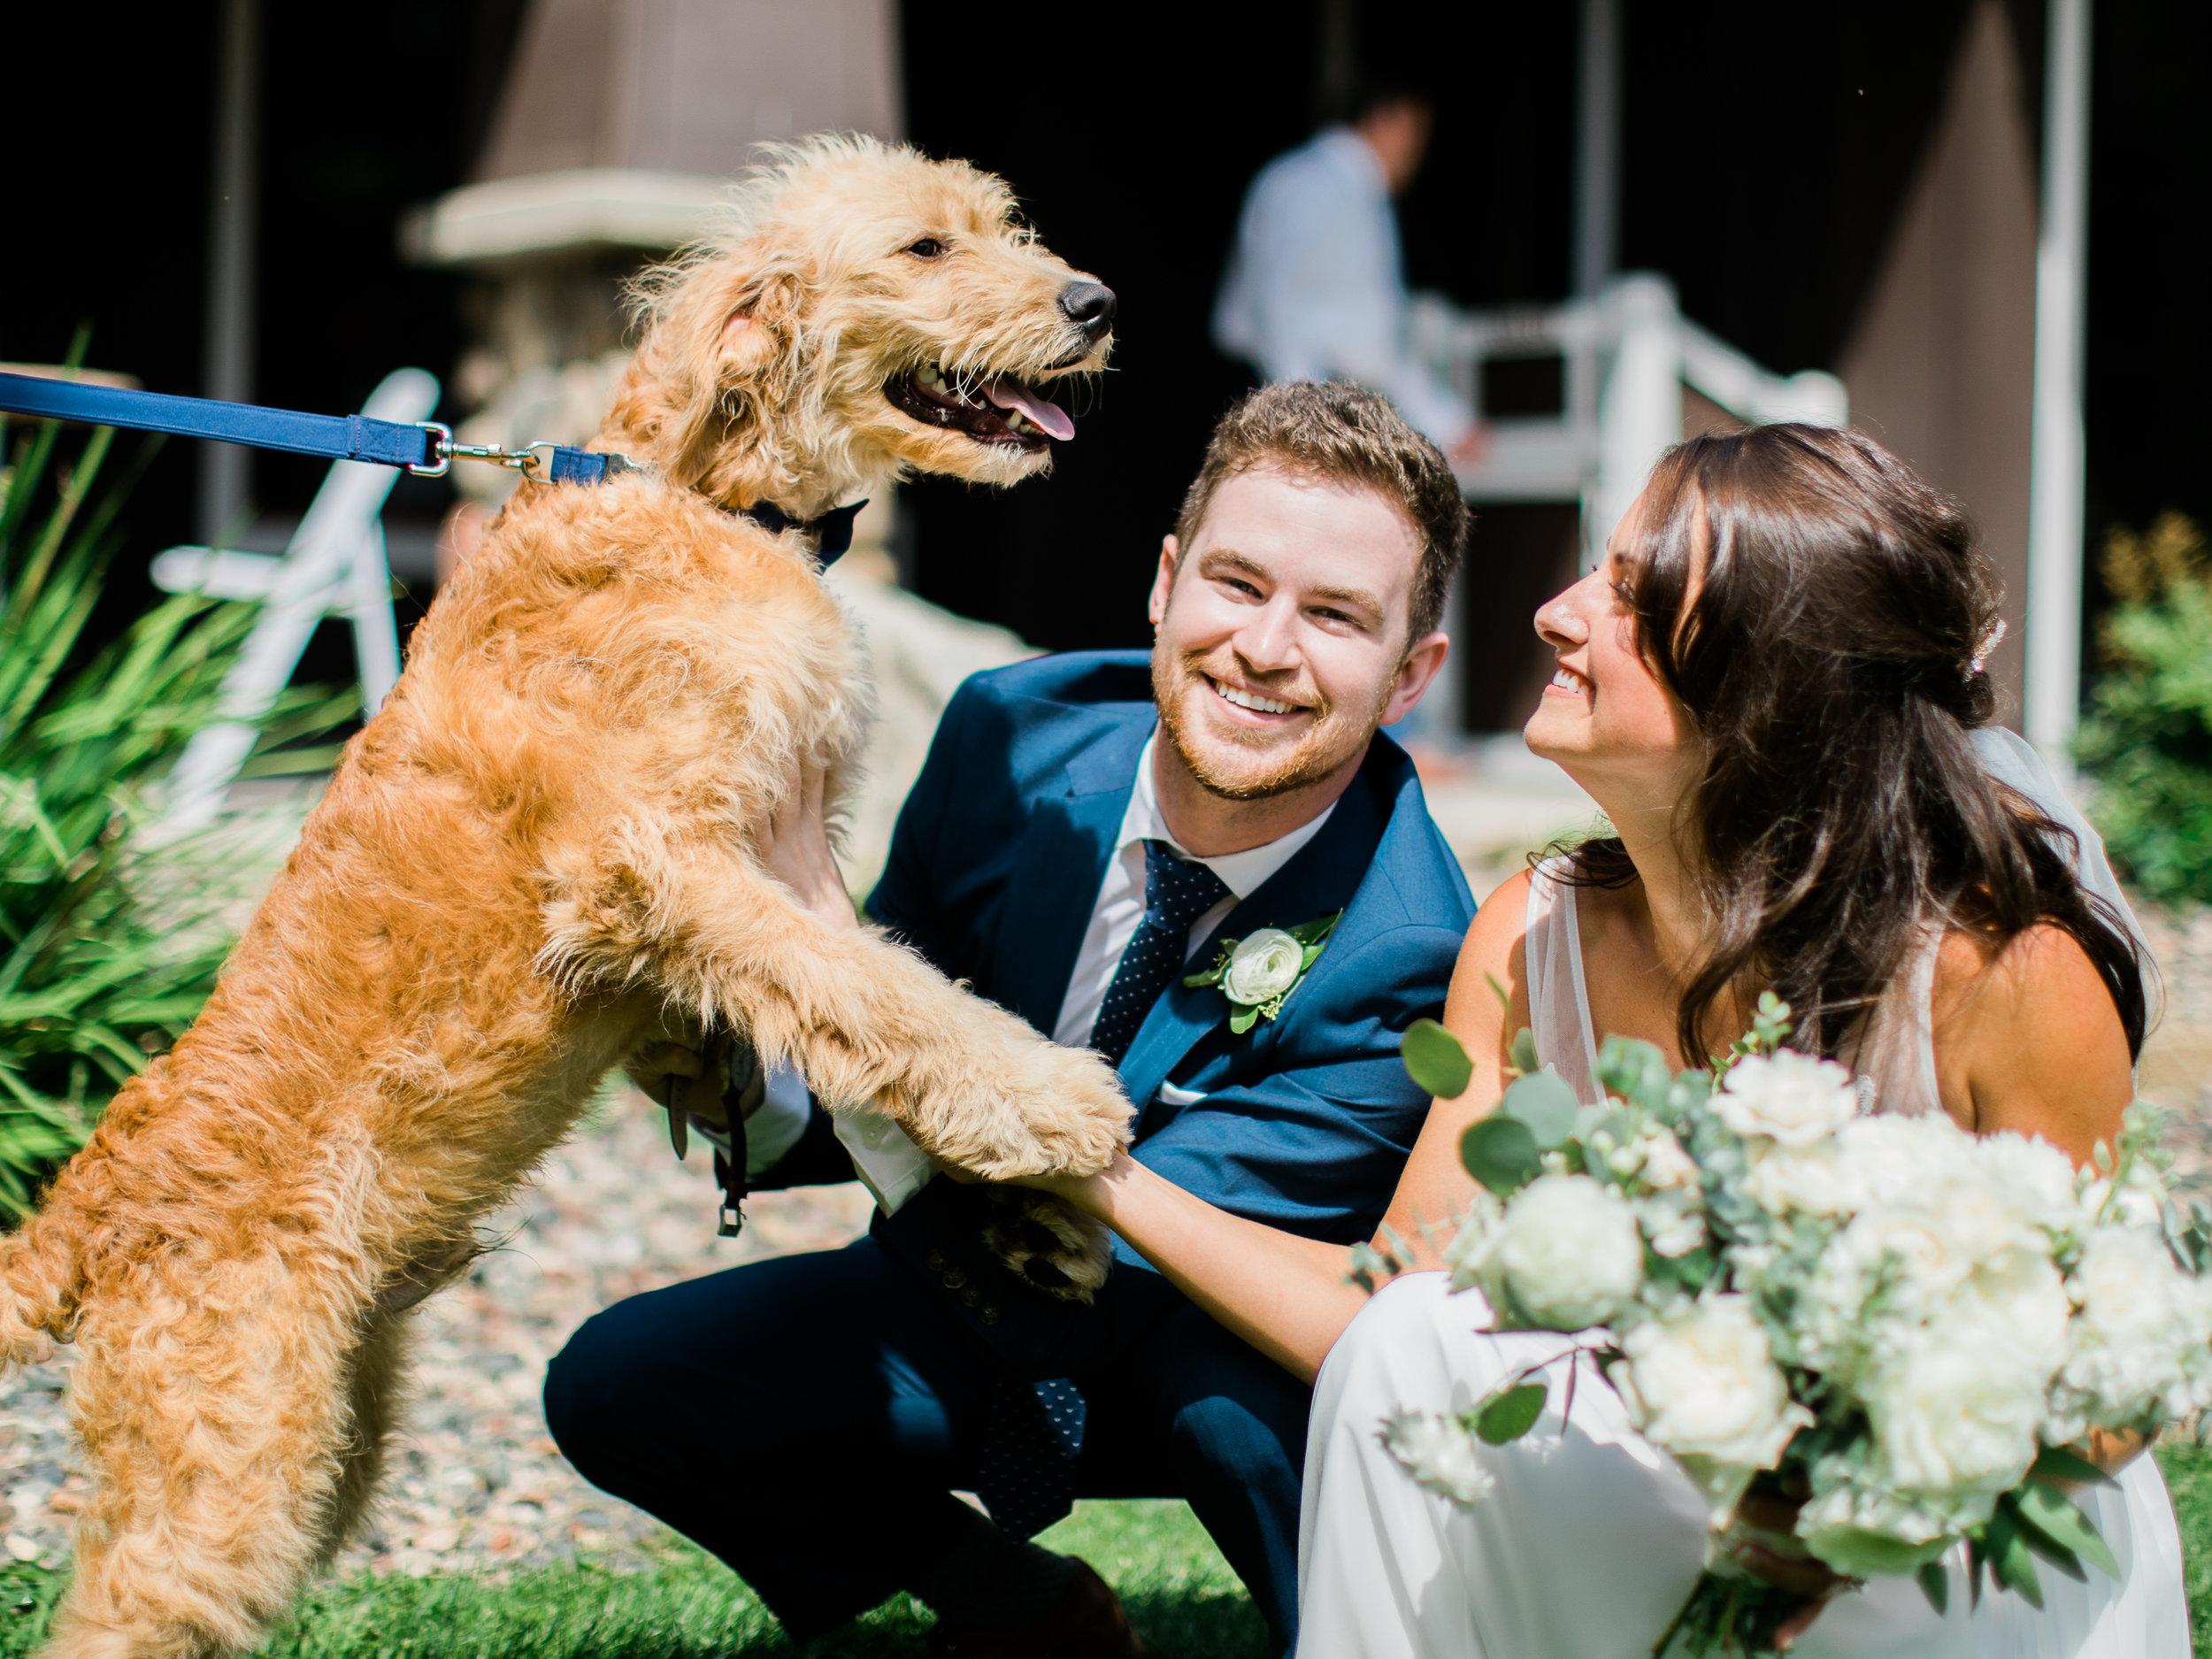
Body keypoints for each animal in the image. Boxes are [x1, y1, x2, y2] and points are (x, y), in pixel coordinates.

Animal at [0, 140, 1133, 1659]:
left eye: (1002, 225)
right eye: (923, 248)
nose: (1095, 300)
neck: (708, 500)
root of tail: (87, 1203)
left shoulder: (735, 905)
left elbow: (876, 1013)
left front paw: (1017, 1220)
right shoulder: (664, 863)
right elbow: (885, 996)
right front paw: (1055, 1112)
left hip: (320, 1450)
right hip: (220, 1477)